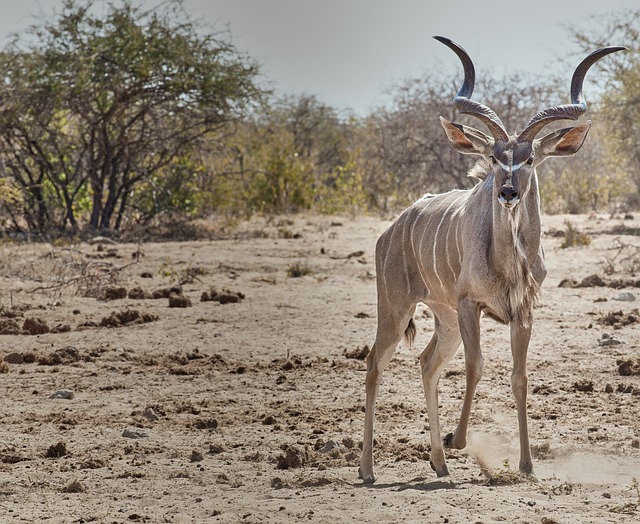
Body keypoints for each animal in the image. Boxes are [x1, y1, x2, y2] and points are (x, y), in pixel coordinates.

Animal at [360, 36, 624, 484]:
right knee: (374, 365)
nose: (508, 192)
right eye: (497, 158)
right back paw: (368, 469)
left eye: (529, 158)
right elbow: (476, 366)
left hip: (444, 319)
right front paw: (459, 439)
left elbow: (519, 377)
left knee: (426, 363)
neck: (509, 263)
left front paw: (527, 464)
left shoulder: (522, 312)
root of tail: (391, 230)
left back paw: (439, 463)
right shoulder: (471, 305)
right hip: (396, 310)